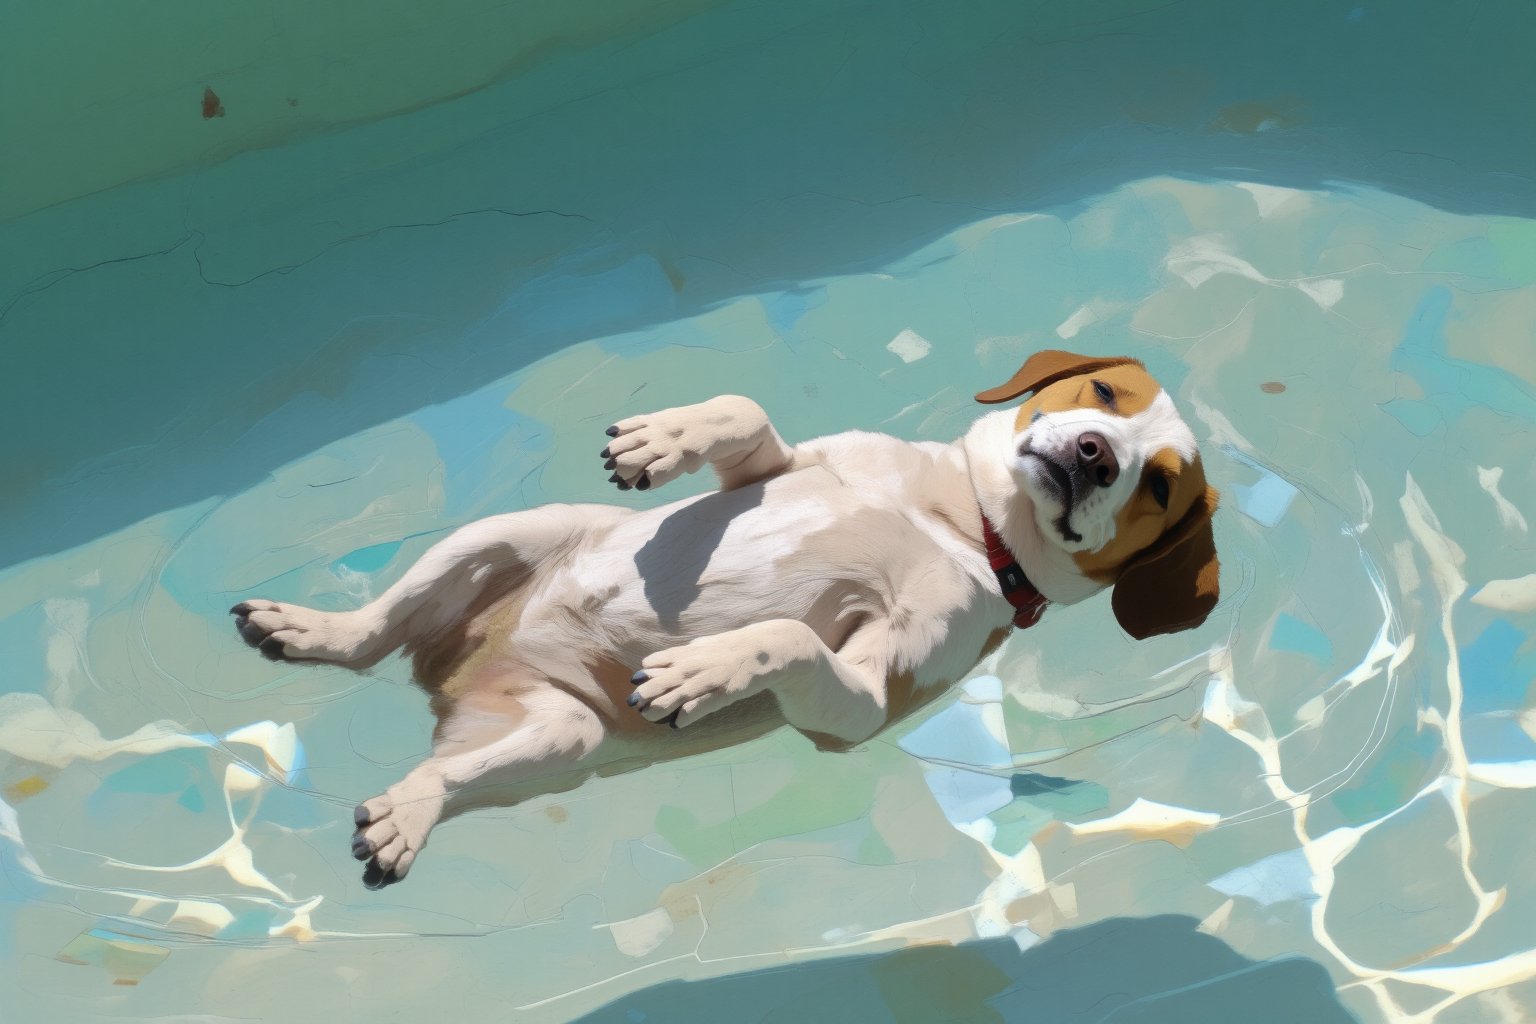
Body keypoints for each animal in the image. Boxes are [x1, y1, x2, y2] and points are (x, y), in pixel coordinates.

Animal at [227, 350, 1216, 890]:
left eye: (1160, 488)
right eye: (1102, 396)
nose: (1093, 454)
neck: (960, 520)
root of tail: (453, 681)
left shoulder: (862, 699)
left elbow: (792, 638)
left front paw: (704, 670)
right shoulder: (781, 468)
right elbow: (747, 415)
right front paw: (663, 441)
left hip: (561, 737)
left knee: (447, 771)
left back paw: (408, 812)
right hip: (506, 533)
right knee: (374, 636)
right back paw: (306, 629)